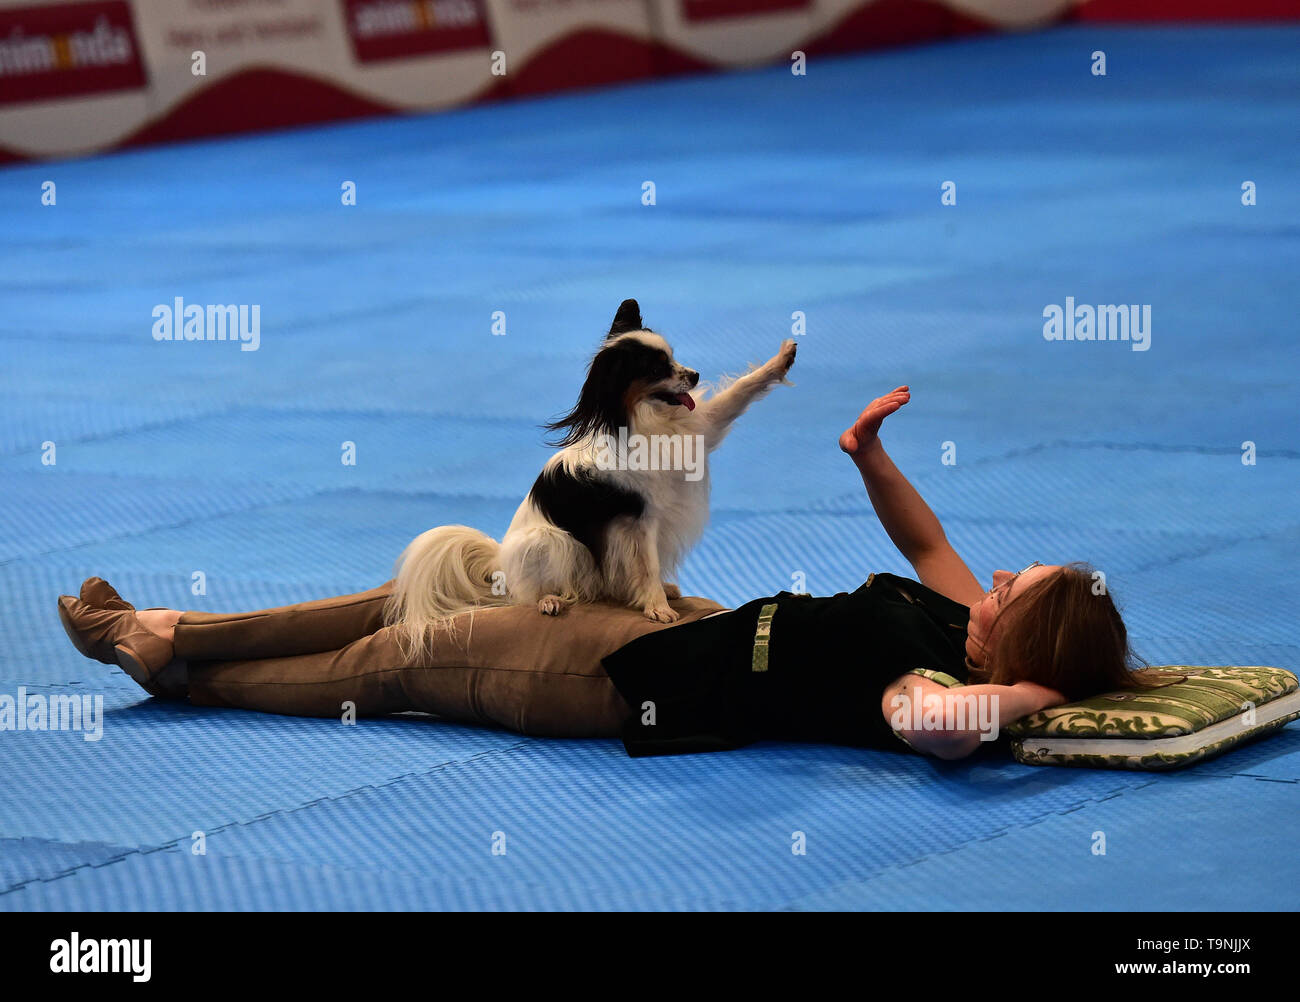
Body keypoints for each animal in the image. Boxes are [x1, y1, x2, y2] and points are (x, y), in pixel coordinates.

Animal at [379, 297, 795, 657]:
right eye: (656, 369)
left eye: (674, 359)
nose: (695, 375)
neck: (646, 423)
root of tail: (500, 561)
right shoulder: (638, 521)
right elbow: (647, 565)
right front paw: (657, 608)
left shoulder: (702, 431)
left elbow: (740, 391)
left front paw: (782, 360)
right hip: (550, 540)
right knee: (524, 593)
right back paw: (548, 600)